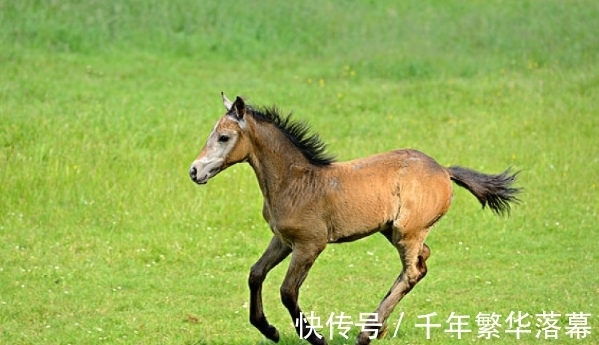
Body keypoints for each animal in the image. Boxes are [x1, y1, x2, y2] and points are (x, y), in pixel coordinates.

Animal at [189, 92, 520, 342]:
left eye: (223, 137)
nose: (194, 171)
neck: (295, 182)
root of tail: (444, 170)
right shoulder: (283, 240)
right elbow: (256, 273)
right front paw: (269, 330)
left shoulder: (310, 245)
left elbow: (287, 291)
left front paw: (316, 338)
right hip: (394, 231)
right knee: (421, 262)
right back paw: (377, 327)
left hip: (406, 232)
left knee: (412, 270)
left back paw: (366, 333)